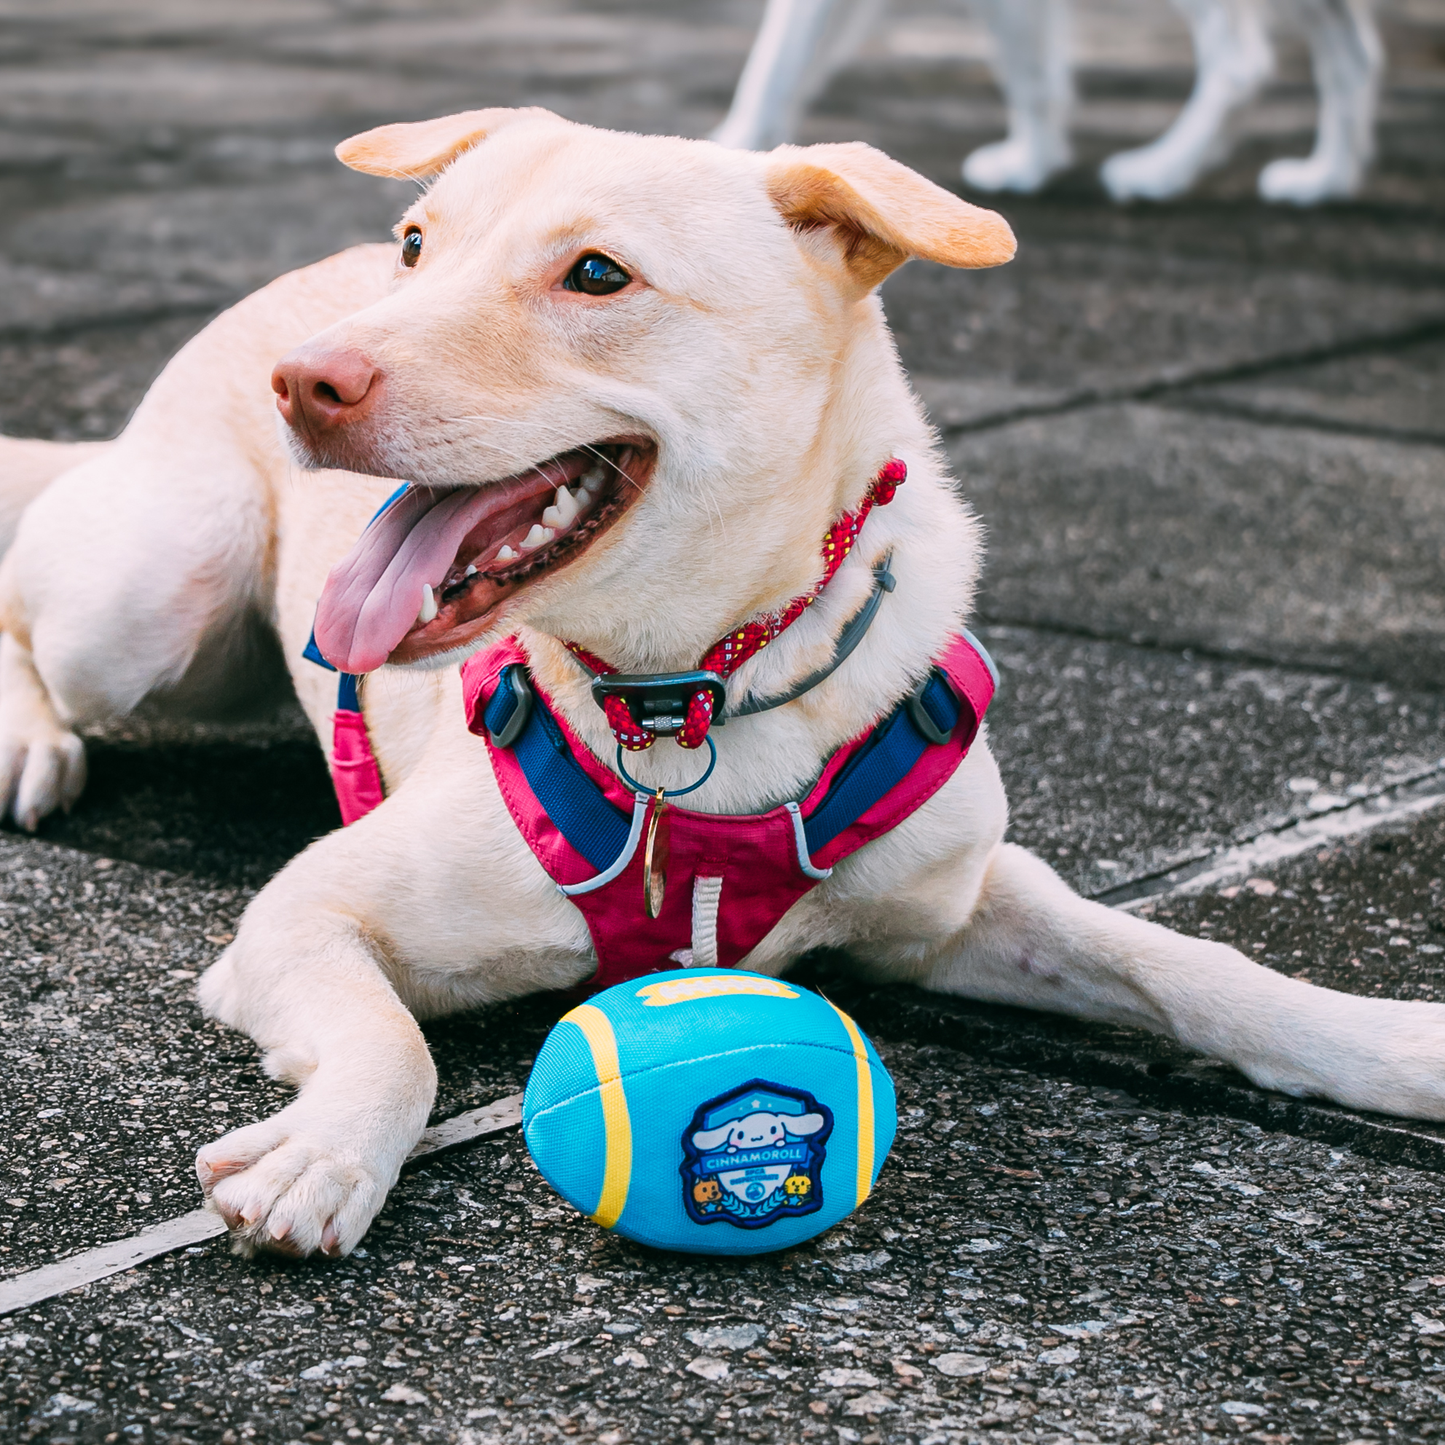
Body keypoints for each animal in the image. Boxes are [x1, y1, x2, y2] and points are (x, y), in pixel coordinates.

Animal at [2, 106, 1445, 1260]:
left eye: (596, 274)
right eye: (416, 245)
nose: (306, 378)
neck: (689, 691)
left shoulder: (963, 898)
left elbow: (1187, 960)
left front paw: (1385, 1043)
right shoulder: (304, 914)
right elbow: (390, 1039)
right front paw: (326, 1151)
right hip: (148, 603)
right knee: (29, 602)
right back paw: (33, 742)